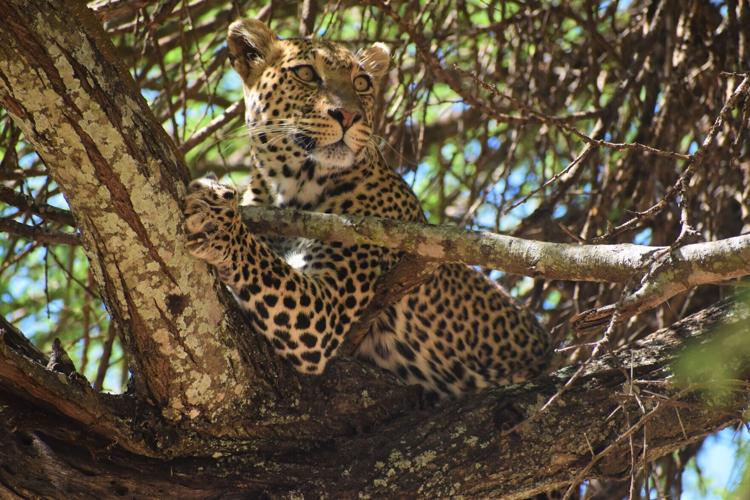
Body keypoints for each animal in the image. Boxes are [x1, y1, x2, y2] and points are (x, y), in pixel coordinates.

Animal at [183, 18, 551, 400]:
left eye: (361, 83)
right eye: (306, 74)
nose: (348, 115)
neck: (289, 187)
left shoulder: (324, 310)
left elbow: (260, 259)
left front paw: (218, 219)